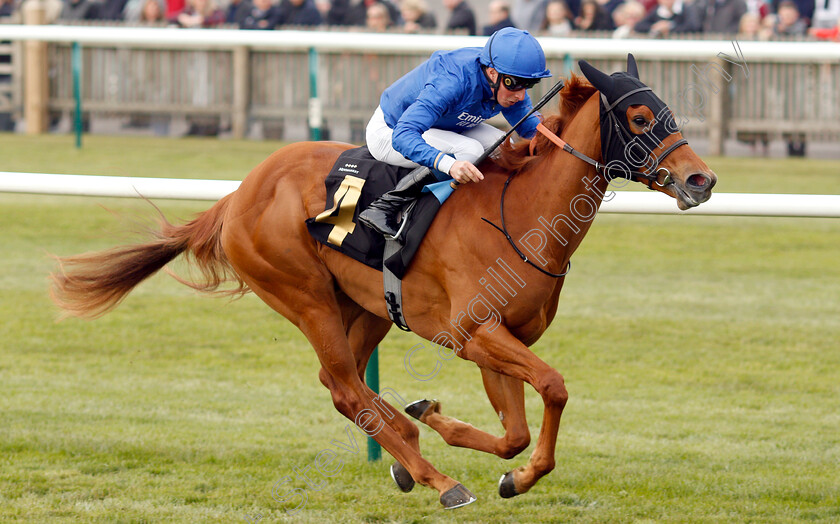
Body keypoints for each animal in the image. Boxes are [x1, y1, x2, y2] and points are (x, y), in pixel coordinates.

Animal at [49, 57, 716, 508]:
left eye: (668, 112)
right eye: (639, 116)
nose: (701, 180)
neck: (520, 217)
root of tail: (237, 195)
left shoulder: (496, 341)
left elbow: (513, 434)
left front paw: (478, 450)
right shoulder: (474, 332)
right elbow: (553, 387)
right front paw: (482, 459)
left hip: (366, 306)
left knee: (340, 384)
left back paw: (407, 447)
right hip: (305, 297)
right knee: (346, 388)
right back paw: (437, 478)